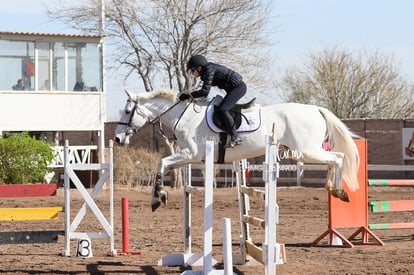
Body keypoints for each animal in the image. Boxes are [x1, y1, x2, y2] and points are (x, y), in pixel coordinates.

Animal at [115, 89, 360, 212]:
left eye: (127, 111)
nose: (117, 139)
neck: (183, 116)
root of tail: (316, 109)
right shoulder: (188, 157)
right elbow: (163, 165)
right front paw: (160, 196)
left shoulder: (190, 154)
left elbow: (161, 163)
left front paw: (157, 199)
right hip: (301, 151)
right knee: (336, 158)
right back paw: (334, 189)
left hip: (305, 151)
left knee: (338, 157)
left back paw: (339, 190)